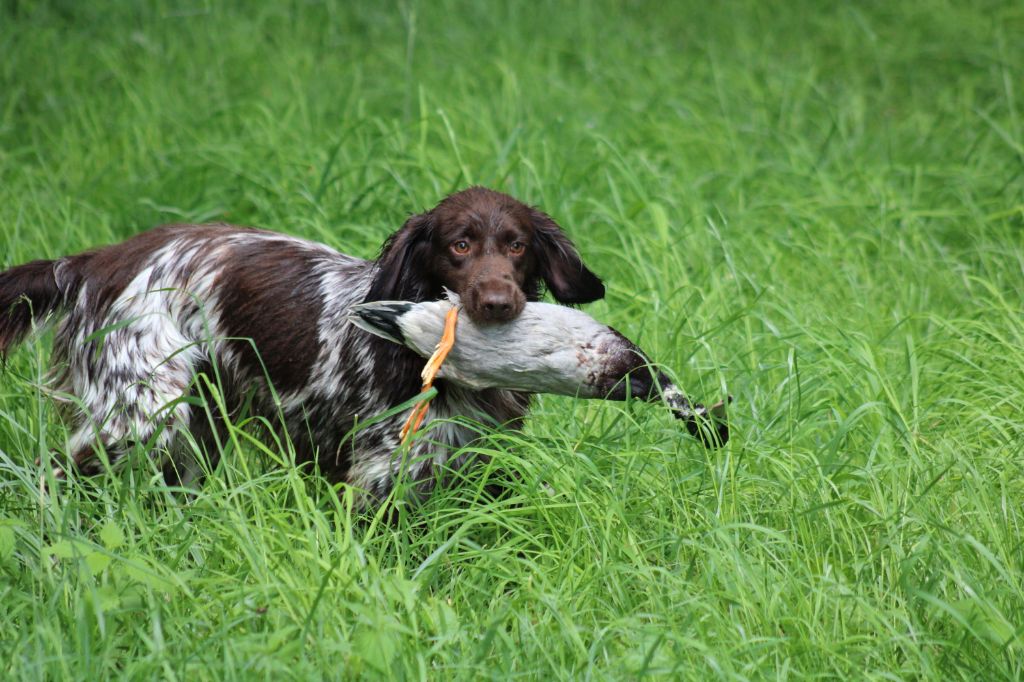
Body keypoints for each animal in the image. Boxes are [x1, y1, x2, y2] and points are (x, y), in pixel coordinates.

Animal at [0, 186, 602, 503]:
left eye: (517, 246)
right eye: (459, 246)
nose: (498, 302)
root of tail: (94, 262)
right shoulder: (382, 471)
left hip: (196, 426)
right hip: (139, 417)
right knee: (53, 475)